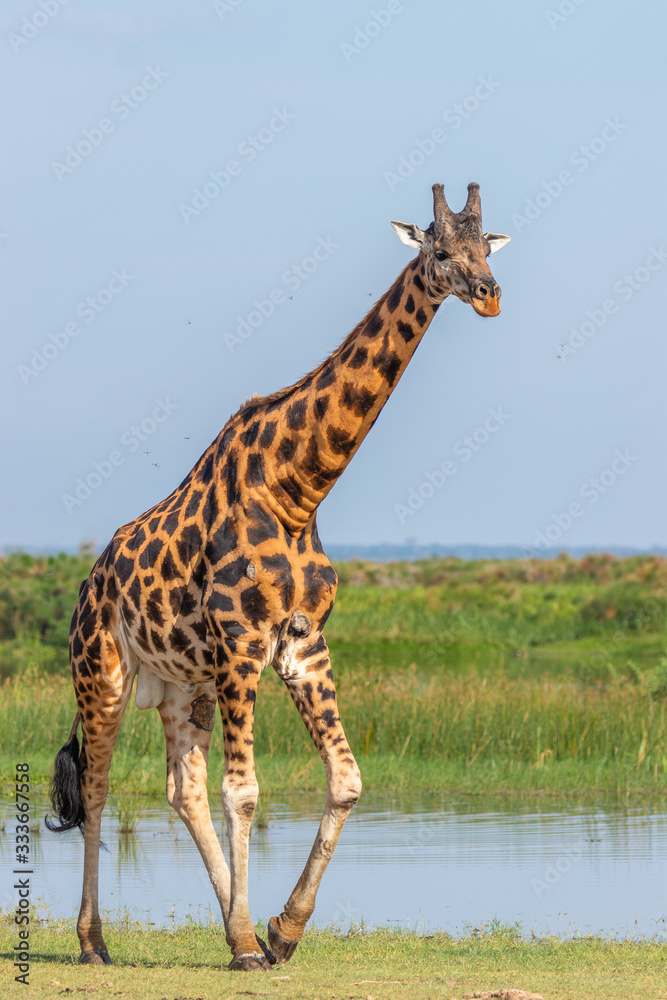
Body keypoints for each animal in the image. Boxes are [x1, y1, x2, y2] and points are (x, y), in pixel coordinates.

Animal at [46, 182, 510, 972]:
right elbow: (245, 793)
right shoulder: (241, 642)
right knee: (101, 788)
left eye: (489, 246)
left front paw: (279, 931)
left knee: (181, 788)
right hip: (100, 671)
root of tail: (88, 584)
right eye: (440, 250)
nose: (489, 295)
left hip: (184, 683)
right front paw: (249, 942)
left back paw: (230, 926)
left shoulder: (303, 644)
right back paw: (95, 941)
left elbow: (345, 781)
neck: (297, 489)